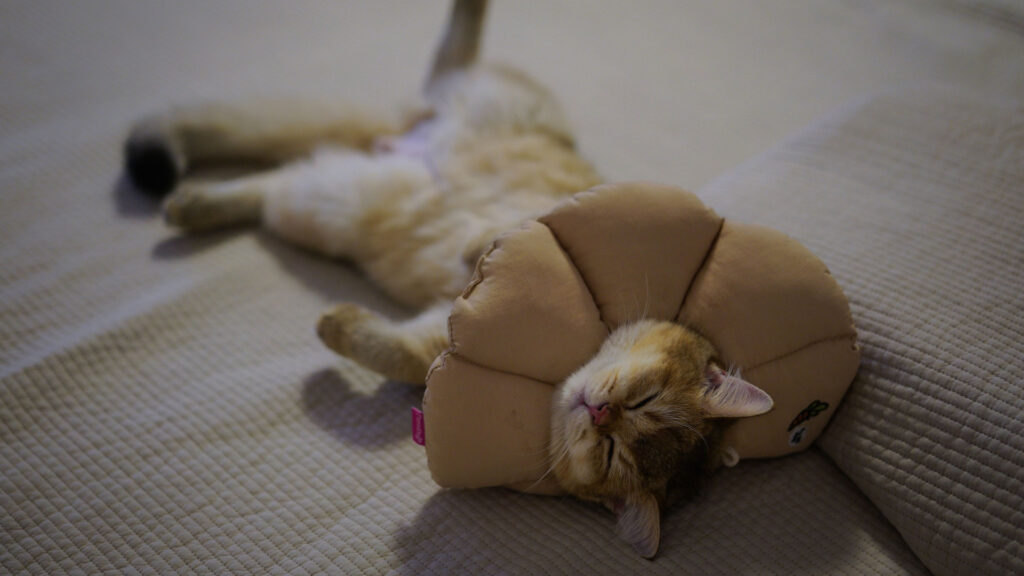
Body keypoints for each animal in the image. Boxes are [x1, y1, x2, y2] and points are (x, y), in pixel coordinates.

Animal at [123, 0, 770, 557]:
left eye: (615, 454)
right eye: (646, 399)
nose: (600, 412)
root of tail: (400, 135)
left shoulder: (434, 334)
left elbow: (400, 353)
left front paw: (340, 323)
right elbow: (509, 241)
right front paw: (484, 251)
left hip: (325, 203)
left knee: (273, 182)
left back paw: (194, 205)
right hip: (475, 102)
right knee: (450, 55)